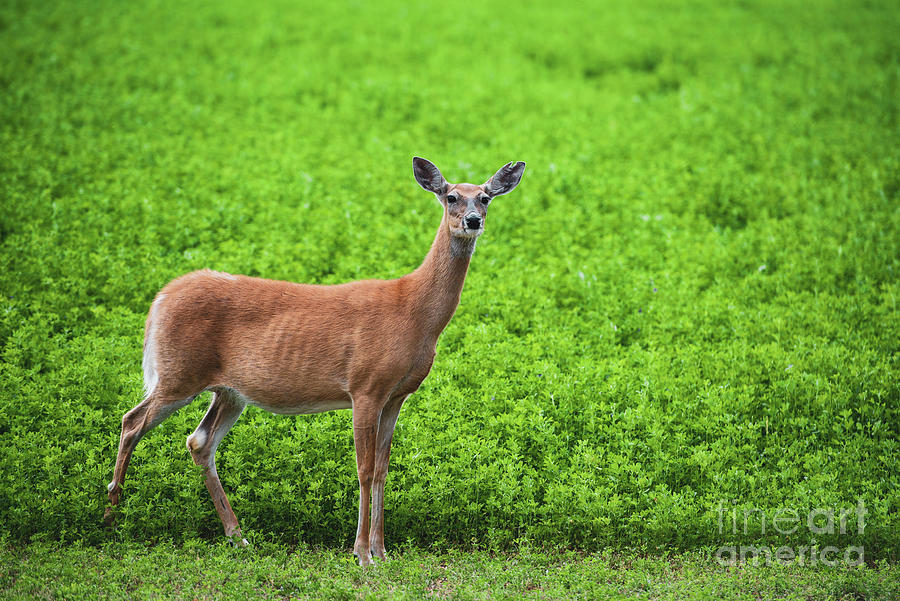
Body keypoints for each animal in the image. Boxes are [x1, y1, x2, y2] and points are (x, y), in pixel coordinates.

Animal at [103, 157, 528, 564]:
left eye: (485, 197)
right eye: (451, 196)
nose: (472, 220)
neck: (413, 312)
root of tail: (160, 299)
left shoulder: (396, 396)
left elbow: (383, 470)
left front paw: (383, 551)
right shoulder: (365, 385)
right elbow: (364, 469)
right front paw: (361, 554)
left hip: (229, 391)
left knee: (199, 441)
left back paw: (238, 536)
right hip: (179, 373)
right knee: (132, 421)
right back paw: (110, 515)